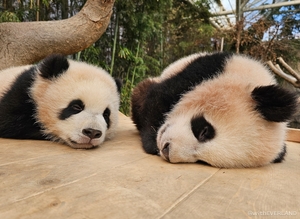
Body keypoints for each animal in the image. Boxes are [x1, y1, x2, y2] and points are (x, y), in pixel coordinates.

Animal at [131, 52, 298, 168]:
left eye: (203, 161)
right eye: (204, 131)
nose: (167, 150)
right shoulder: (208, 68)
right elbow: (159, 97)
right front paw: (151, 141)